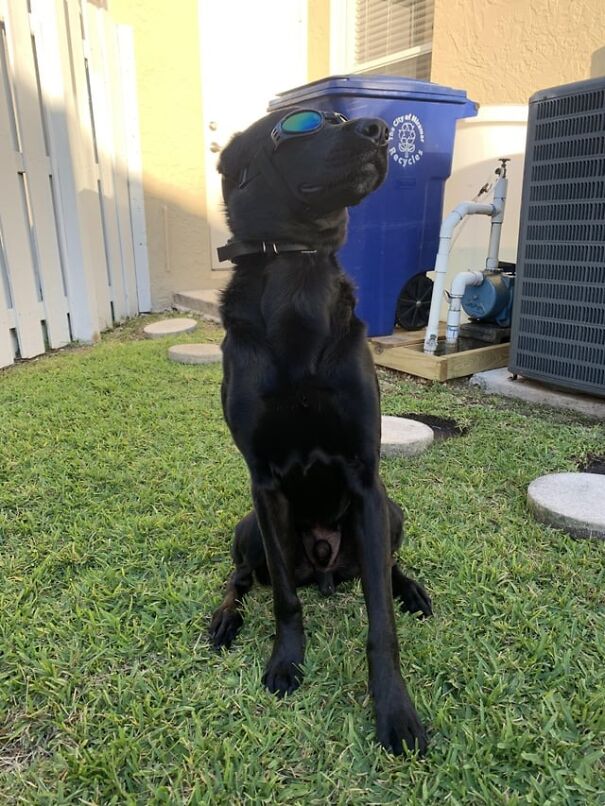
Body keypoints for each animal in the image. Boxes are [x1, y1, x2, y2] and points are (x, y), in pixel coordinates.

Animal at [210, 109, 432, 756]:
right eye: (302, 125)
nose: (378, 130)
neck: (299, 269)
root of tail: (328, 569)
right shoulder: (263, 485)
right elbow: (284, 598)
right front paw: (286, 663)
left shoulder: (365, 481)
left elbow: (380, 621)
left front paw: (395, 712)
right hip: (250, 529)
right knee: (243, 577)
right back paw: (225, 618)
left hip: (391, 511)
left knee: (384, 566)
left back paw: (413, 590)